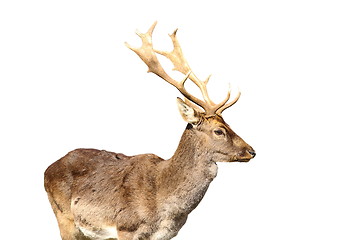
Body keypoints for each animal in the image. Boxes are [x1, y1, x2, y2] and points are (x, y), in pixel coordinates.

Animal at [43, 21, 255, 239]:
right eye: (219, 131)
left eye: (229, 124)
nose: (251, 151)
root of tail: (47, 169)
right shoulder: (125, 226)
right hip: (64, 217)